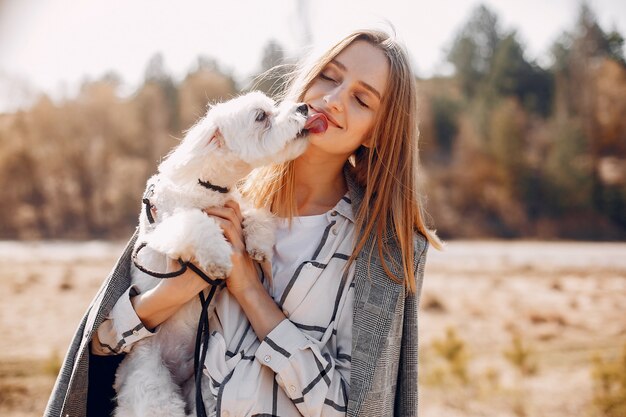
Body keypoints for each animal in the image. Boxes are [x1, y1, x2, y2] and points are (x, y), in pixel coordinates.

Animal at [111, 92, 312, 416]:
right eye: (261, 117)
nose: (304, 107)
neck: (207, 189)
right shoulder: (169, 229)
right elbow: (197, 224)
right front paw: (218, 258)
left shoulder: (236, 207)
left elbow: (255, 216)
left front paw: (258, 243)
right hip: (153, 385)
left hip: (203, 381)